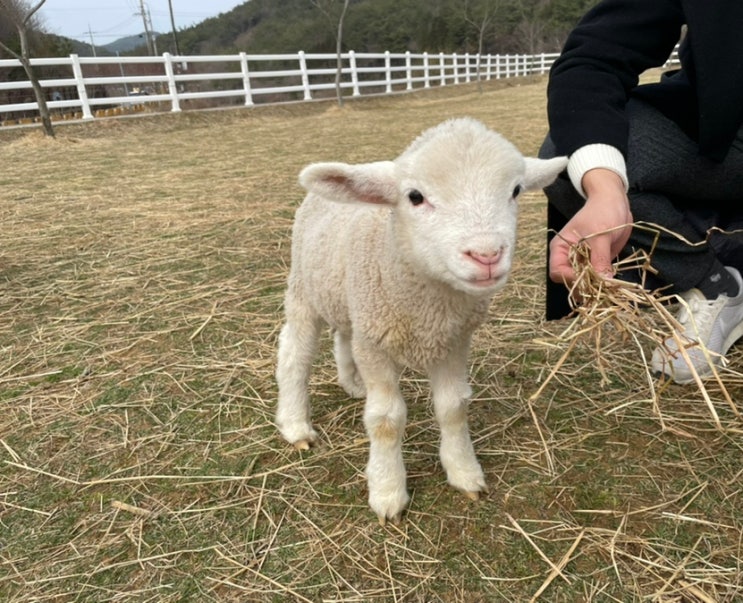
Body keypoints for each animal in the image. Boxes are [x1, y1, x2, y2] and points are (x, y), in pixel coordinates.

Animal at [276, 117, 568, 524]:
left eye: (515, 190)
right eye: (415, 197)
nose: (486, 255)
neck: (428, 307)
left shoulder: (453, 341)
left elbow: (453, 407)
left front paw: (464, 472)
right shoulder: (376, 345)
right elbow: (386, 420)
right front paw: (387, 491)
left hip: (349, 300)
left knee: (343, 336)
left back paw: (352, 384)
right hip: (304, 291)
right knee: (295, 355)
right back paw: (295, 425)